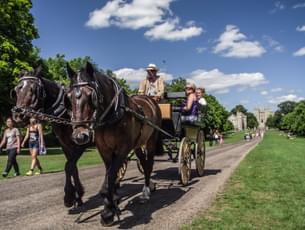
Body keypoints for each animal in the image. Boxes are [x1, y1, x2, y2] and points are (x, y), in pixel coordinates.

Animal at [11, 66, 89, 208]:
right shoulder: (66, 144)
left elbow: (68, 166)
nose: (18, 116)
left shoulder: (82, 141)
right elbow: (73, 168)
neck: (66, 113)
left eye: (33, 89)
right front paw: (78, 196)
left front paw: (69, 197)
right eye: (16, 90)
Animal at [66, 62, 162, 226]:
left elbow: (111, 175)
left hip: (151, 140)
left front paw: (108, 212)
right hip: (137, 144)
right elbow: (110, 173)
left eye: (91, 96)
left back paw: (146, 192)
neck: (111, 115)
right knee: (143, 163)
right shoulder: (104, 149)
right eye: (69, 97)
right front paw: (111, 204)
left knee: (149, 165)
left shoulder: (123, 149)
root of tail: (150, 100)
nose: (80, 135)